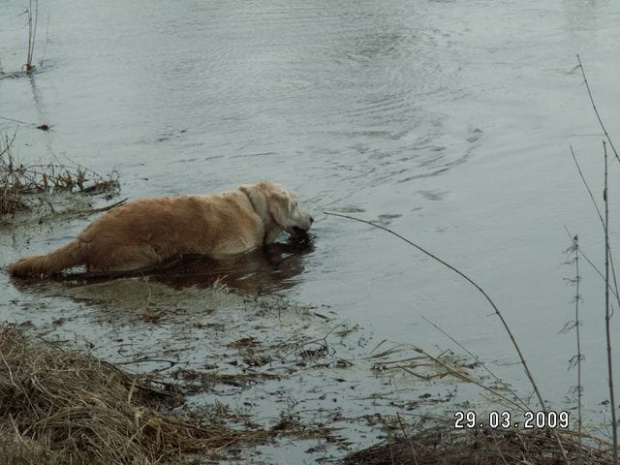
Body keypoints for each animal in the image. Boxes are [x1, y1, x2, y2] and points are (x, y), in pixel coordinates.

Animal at [10, 180, 314, 276]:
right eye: (296, 203)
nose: (312, 219)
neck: (253, 208)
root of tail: (85, 238)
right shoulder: (230, 252)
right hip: (137, 256)